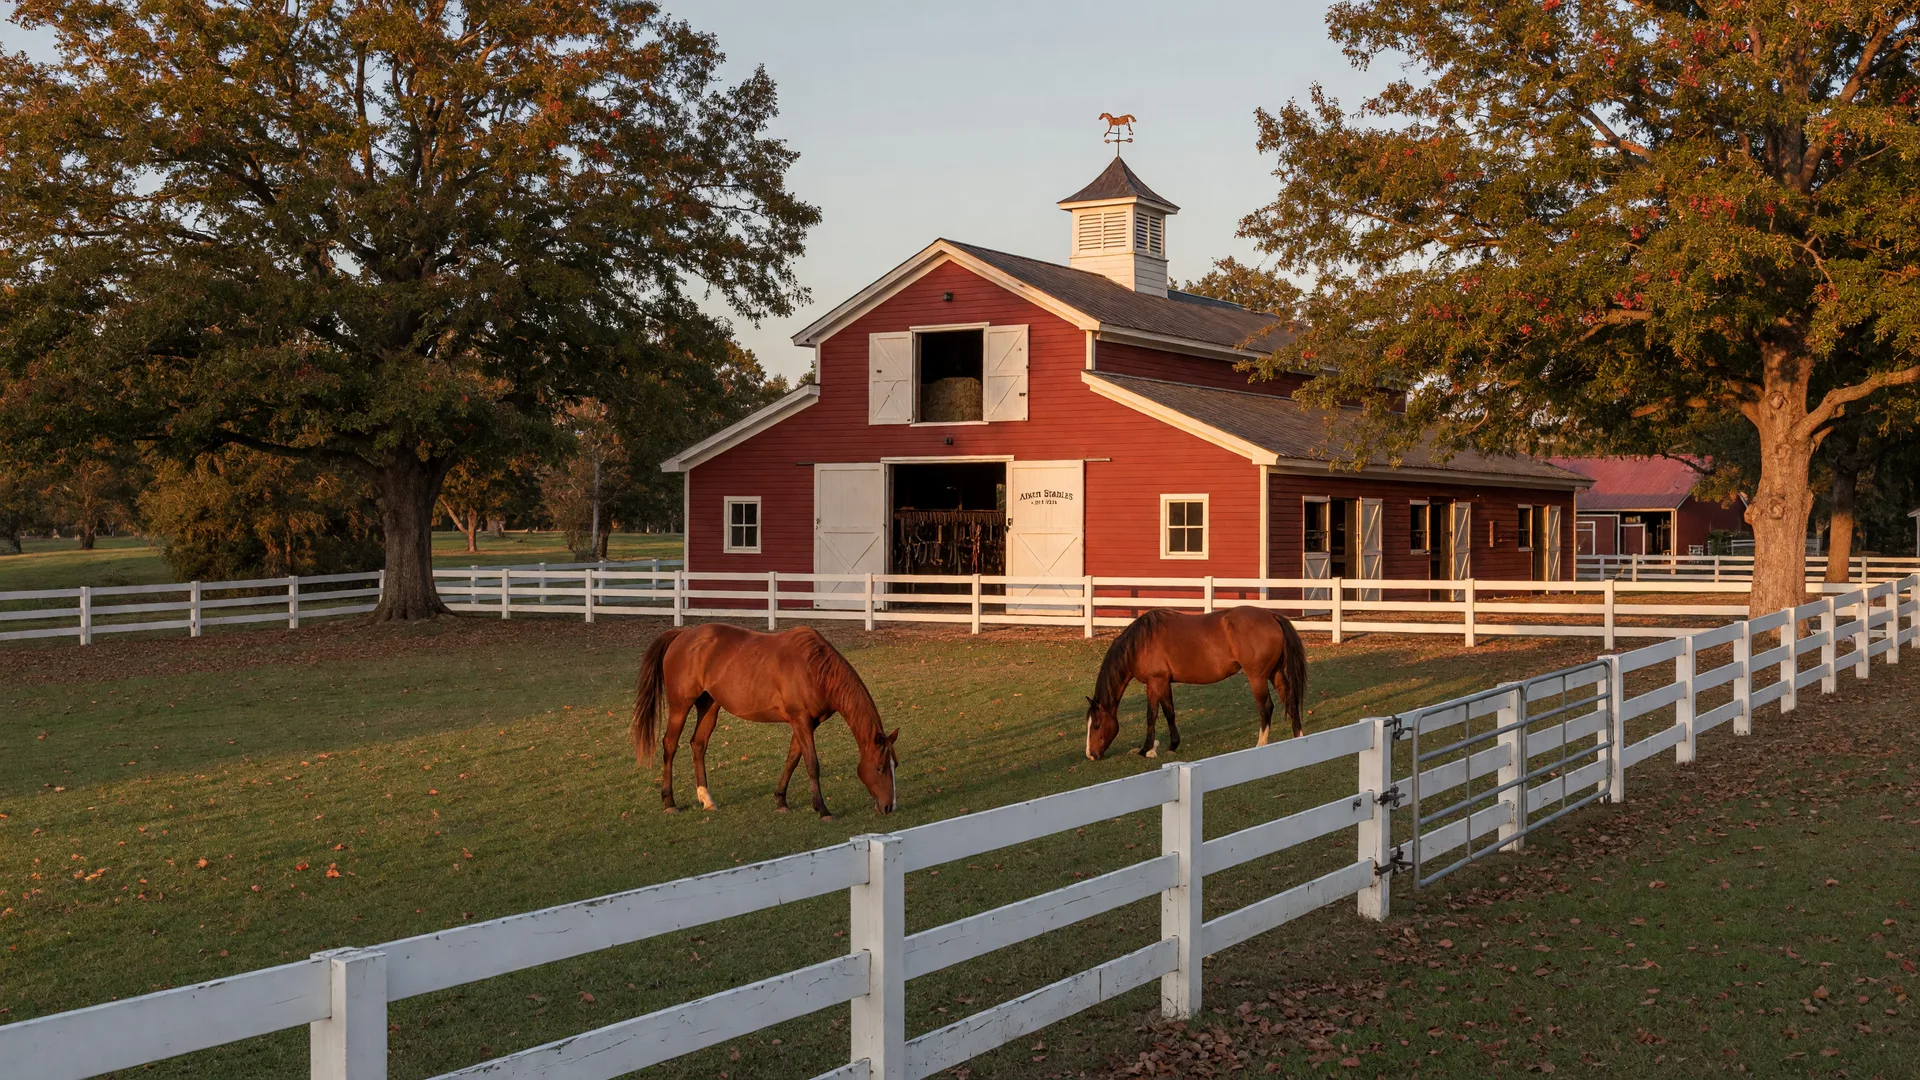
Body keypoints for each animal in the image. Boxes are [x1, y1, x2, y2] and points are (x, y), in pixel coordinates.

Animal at [631, 624, 899, 818]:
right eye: (879, 767)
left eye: (894, 765)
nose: (889, 807)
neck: (815, 668)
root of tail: (681, 635)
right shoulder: (801, 721)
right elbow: (812, 764)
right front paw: (822, 809)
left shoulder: (806, 723)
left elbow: (792, 759)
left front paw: (781, 800)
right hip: (680, 706)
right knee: (670, 745)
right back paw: (669, 802)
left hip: (709, 705)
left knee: (698, 745)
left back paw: (707, 799)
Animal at [1084, 607, 1307, 761]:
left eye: (1096, 725)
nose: (1091, 755)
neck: (1141, 642)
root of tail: (1272, 615)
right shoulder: (1153, 684)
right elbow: (1156, 714)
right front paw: (1151, 749)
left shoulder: (1159, 682)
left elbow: (1164, 714)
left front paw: (1164, 747)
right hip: (1275, 674)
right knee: (1290, 702)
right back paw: (1298, 738)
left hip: (1257, 678)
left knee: (1266, 708)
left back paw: (1260, 744)